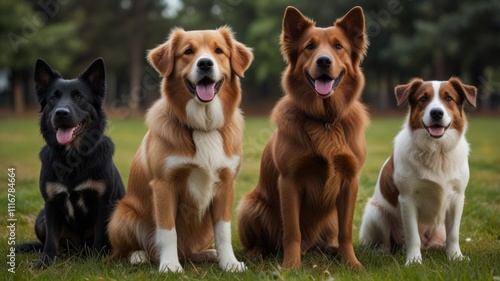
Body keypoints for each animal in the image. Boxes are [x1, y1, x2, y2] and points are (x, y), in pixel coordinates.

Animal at [16, 57, 125, 266]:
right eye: (53, 98)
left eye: (79, 97)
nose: (61, 113)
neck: (73, 158)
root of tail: (77, 250)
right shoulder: (50, 204)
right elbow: (51, 240)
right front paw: (45, 263)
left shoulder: (103, 203)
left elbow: (99, 237)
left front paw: (96, 262)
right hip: (40, 219)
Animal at [107, 26, 252, 272]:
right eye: (188, 51)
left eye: (218, 51)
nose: (205, 63)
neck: (203, 126)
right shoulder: (164, 185)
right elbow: (168, 231)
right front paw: (169, 266)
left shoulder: (226, 184)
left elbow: (224, 231)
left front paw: (229, 263)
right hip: (121, 214)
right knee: (128, 249)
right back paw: (140, 256)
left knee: (191, 249)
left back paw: (208, 254)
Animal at [360, 77, 476, 264]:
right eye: (423, 99)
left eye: (448, 98)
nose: (436, 113)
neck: (437, 152)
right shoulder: (407, 199)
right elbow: (413, 236)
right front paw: (414, 261)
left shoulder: (457, 198)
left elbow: (453, 235)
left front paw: (455, 257)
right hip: (376, 213)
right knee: (387, 242)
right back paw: (384, 252)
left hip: (439, 226)